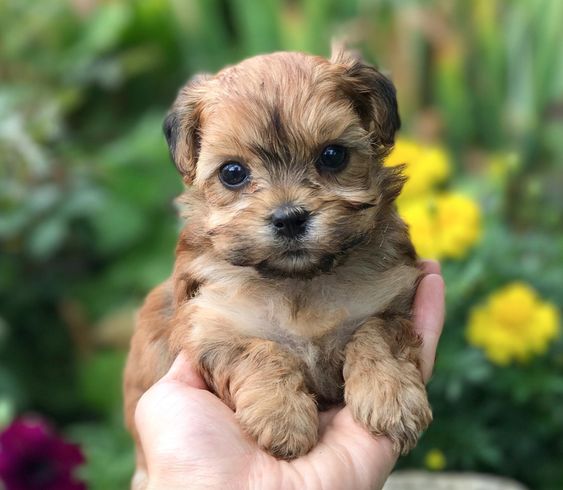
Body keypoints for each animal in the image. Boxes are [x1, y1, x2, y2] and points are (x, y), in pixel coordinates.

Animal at [123, 45, 432, 486]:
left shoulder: (392, 297)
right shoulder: (209, 323)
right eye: (233, 172)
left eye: (333, 156)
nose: (289, 218)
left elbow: (375, 334)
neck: (298, 280)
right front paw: (281, 417)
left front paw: (390, 396)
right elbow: (259, 350)